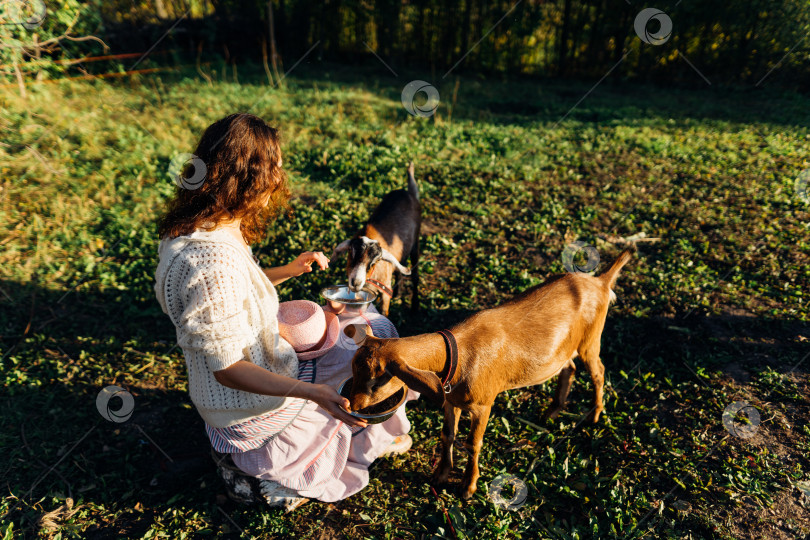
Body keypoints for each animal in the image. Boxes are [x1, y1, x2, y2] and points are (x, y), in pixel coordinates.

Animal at [340, 251, 632, 500]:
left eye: (377, 381)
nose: (352, 405)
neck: (458, 355)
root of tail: (601, 281)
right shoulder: (451, 401)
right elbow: (447, 434)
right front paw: (440, 475)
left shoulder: (483, 404)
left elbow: (473, 443)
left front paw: (468, 488)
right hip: (565, 348)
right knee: (568, 367)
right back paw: (552, 412)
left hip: (591, 340)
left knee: (598, 372)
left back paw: (594, 415)